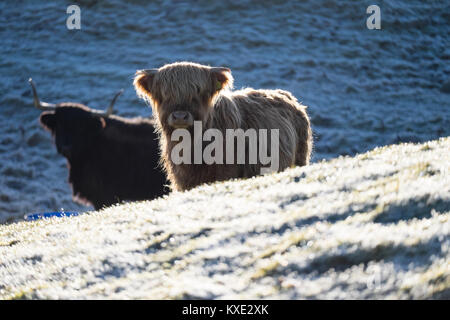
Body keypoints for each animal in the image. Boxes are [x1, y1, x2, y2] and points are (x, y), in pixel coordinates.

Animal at [132, 61, 312, 191]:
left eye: (197, 92)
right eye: (165, 95)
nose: (180, 116)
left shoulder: (226, 172)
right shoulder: (183, 180)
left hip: (300, 158)